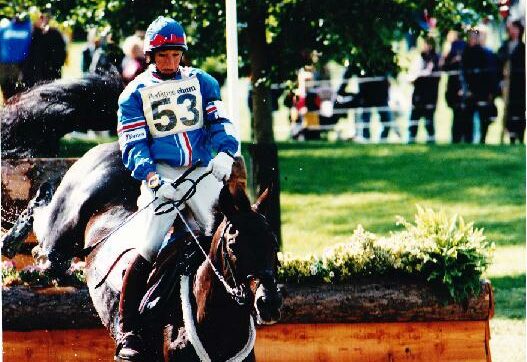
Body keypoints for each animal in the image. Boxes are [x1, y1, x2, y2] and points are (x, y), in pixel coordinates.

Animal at [22, 143, 282, 360]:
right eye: (233, 246)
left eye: (274, 244)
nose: (268, 303)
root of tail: (110, 147)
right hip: (62, 232)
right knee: (46, 244)